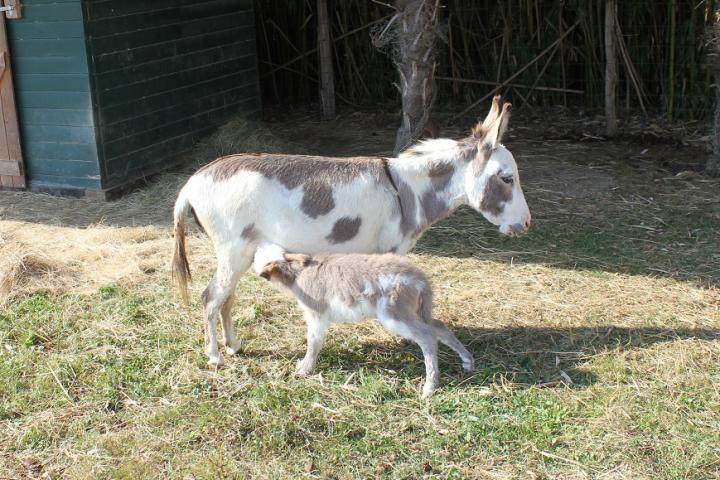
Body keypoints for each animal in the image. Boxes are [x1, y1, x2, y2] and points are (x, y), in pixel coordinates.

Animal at [250, 246, 476, 400]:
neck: (297, 274)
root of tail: (421, 281)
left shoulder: (316, 315)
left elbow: (314, 341)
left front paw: (304, 370)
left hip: (396, 315)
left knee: (427, 337)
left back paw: (429, 387)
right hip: (416, 313)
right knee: (439, 327)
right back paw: (467, 362)